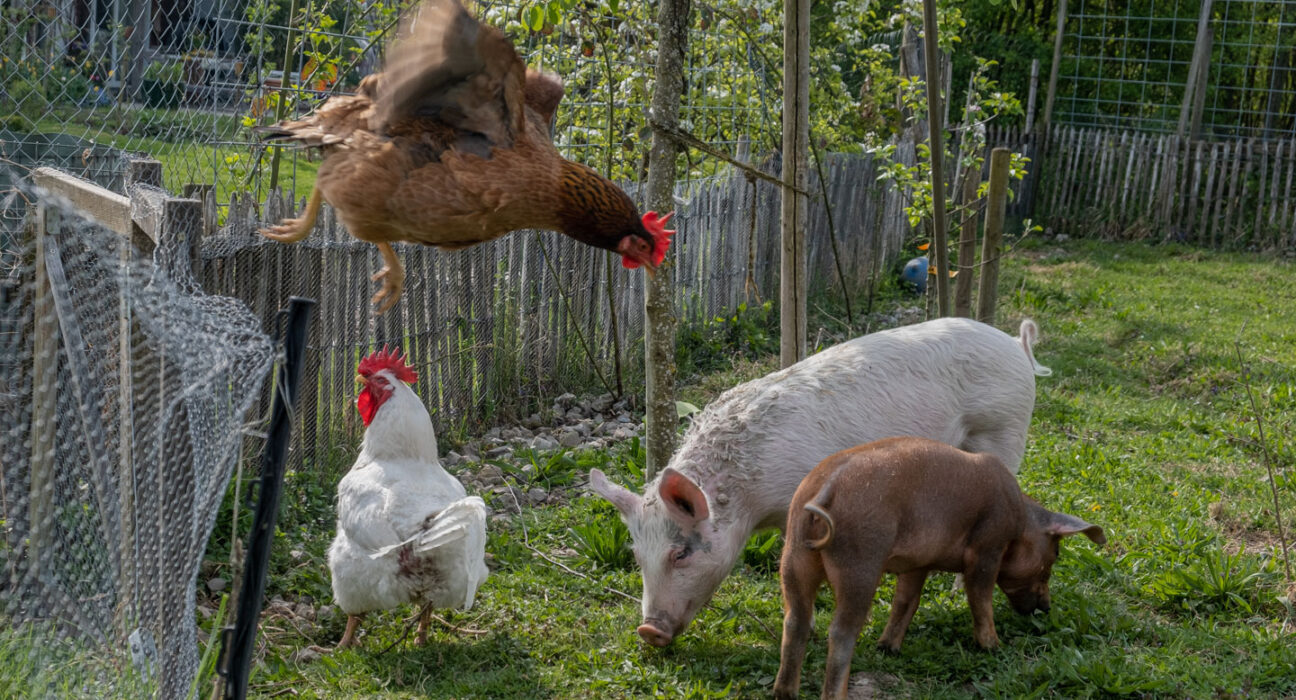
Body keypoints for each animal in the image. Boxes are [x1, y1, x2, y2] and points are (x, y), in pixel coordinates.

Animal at [593, 316, 1047, 645]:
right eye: (637, 557)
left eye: (680, 554)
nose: (648, 630)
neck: (752, 502)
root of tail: (1014, 345)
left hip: (1006, 429)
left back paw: (954, 592)